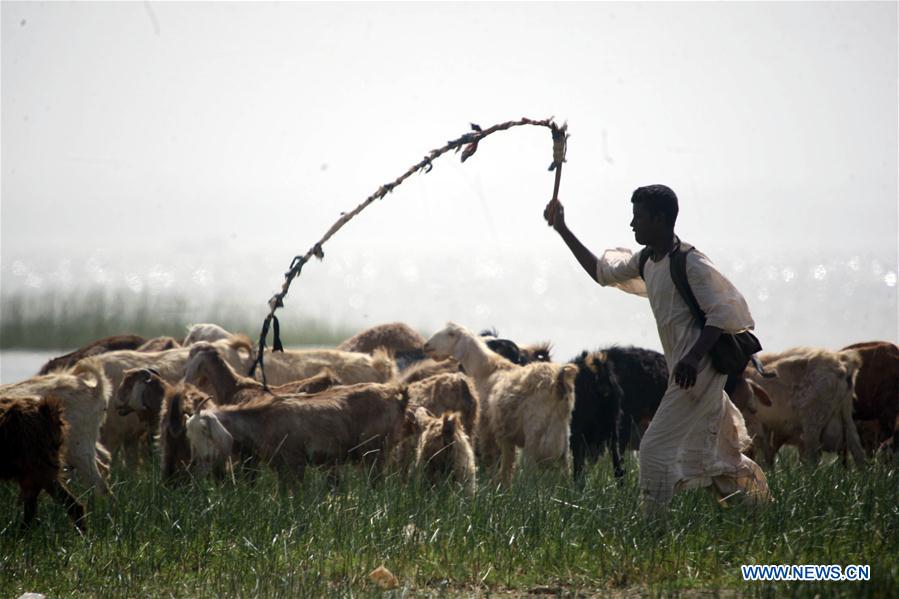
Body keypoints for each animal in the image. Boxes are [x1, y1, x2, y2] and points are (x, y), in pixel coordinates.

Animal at [424, 324, 576, 488]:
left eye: (451, 334)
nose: (426, 345)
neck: (487, 369)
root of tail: (558, 382)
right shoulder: (506, 435)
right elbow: (507, 465)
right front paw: (504, 487)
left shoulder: (487, 427)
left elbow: (491, 459)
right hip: (563, 437)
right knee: (565, 471)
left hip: (535, 435)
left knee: (530, 475)